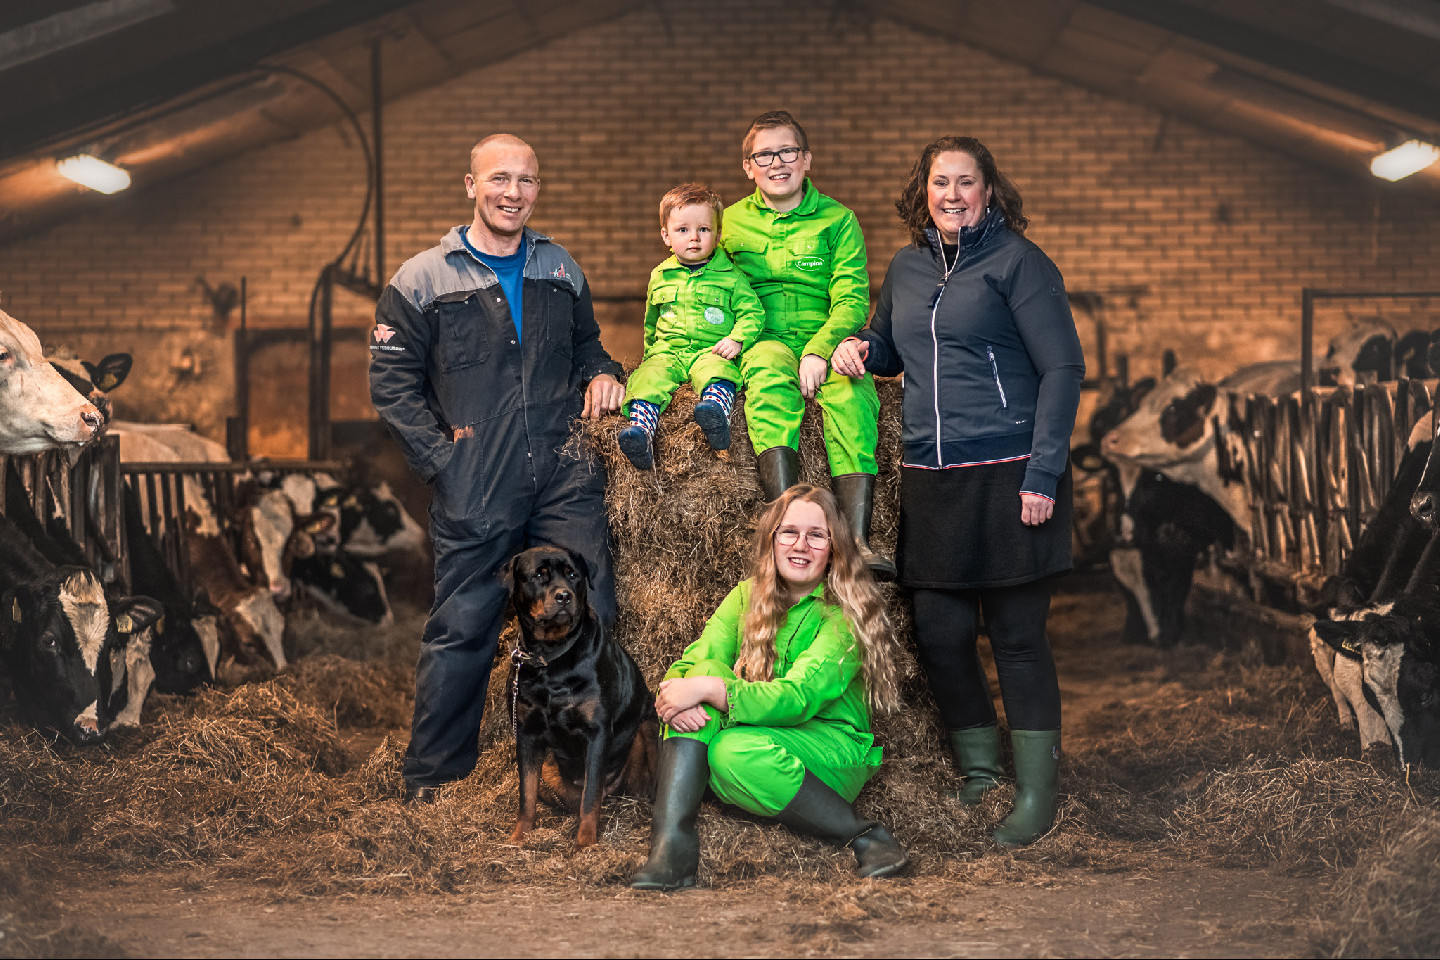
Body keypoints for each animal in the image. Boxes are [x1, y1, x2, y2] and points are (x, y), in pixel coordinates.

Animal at [506, 546, 659, 846]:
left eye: (573, 575)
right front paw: (519, 836)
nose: (564, 595)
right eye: (538, 576)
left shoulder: (596, 732)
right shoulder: (527, 733)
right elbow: (526, 793)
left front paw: (585, 842)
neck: (551, 658)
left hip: (647, 726)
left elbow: (590, 797)